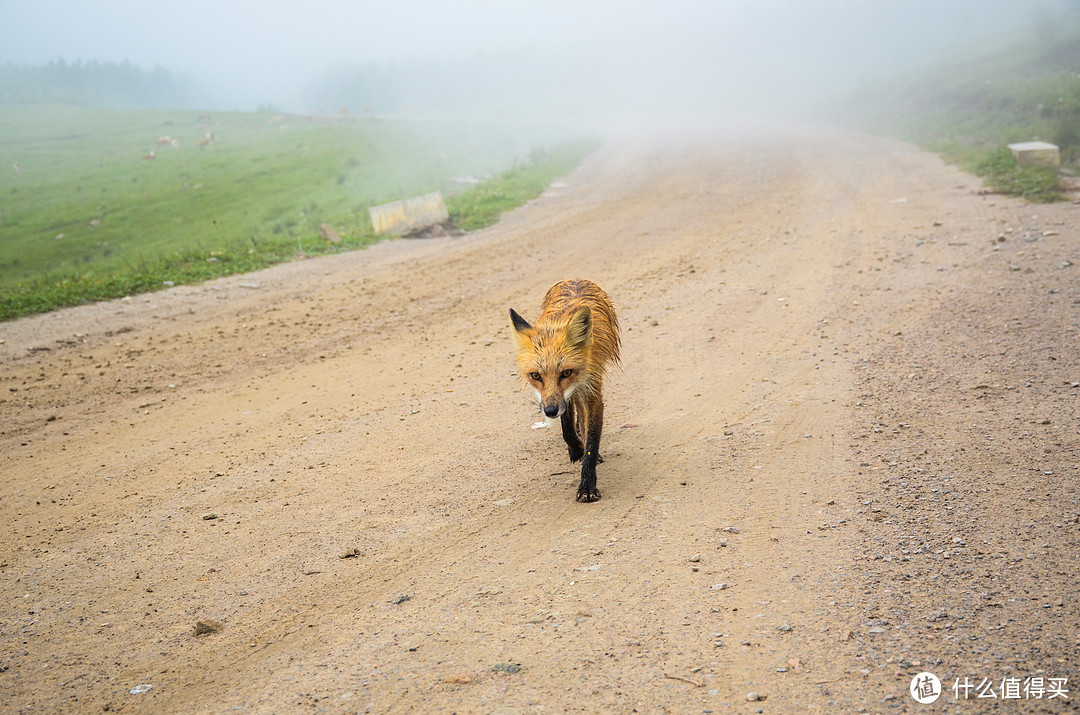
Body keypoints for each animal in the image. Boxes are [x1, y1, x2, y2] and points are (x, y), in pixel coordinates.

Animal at [509, 280, 622, 503]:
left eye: (566, 372)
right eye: (536, 376)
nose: (550, 411)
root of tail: (575, 279)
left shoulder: (591, 390)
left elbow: (592, 441)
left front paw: (587, 485)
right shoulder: (559, 398)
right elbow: (567, 428)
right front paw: (576, 448)